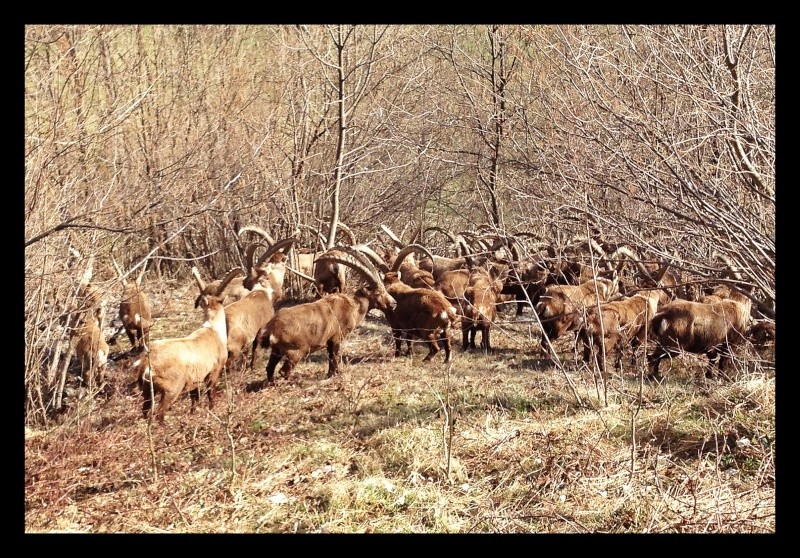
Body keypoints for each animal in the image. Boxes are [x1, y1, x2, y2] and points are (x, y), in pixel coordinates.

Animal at [135, 294, 228, 424]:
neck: (214, 331)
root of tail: (147, 364)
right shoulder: (214, 371)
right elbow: (210, 393)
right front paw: (211, 410)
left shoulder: (194, 380)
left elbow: (194, 398)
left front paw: (193, 413)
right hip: (172, 388)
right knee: (159, 411)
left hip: (147, 389)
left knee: (145, 409)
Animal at [258, 247, 396, 388]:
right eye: (378, 292)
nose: (394, 303)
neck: (354, 307)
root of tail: (271, 330)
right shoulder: (337, 338)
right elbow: (335, 357)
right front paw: (336, 375)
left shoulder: (329, 341)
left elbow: (330, 358)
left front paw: (330, 375)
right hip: (296, 351)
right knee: (284, 371)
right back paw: (294, 382)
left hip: (276, 351)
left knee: (269, 368)